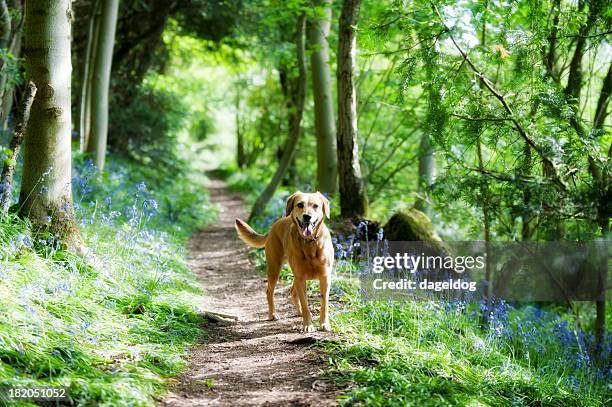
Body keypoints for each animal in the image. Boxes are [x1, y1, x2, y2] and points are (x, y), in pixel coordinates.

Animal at [234, 192, 332, 332]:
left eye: (315, 206)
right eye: (300, 204)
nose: (307, 217)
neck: (309, 243)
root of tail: (273, 226)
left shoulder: (325, 277)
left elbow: (324, 303)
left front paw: (324, 324)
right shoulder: (300, 277)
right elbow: (305, 304)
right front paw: (308, 325)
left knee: (292, 291)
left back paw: (299, 312)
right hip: (274, 268)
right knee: (269, 291)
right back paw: (273, 314)